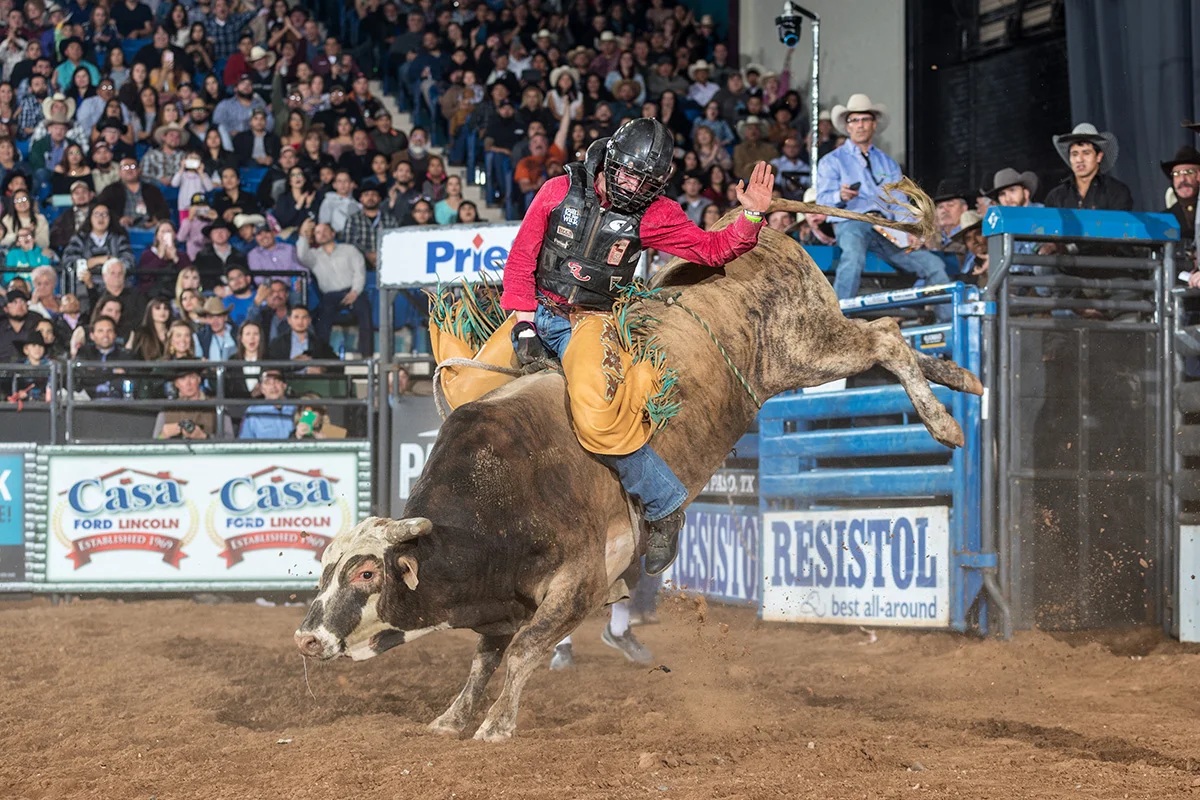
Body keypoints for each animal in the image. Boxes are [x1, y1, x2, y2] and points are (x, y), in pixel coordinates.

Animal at [295, 181, 983, 741]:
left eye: (366, 574)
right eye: (322, 571)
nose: (306, 636)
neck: (495, 498)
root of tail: (752, 227)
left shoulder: (578, 584)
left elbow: (522, 652)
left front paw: (495, 727)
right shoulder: (500, 602)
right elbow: (485, 659)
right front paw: (452, 719)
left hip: (805, 348)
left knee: (887, 338)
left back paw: (946, 422)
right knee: (898, 346)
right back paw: (964, 379)